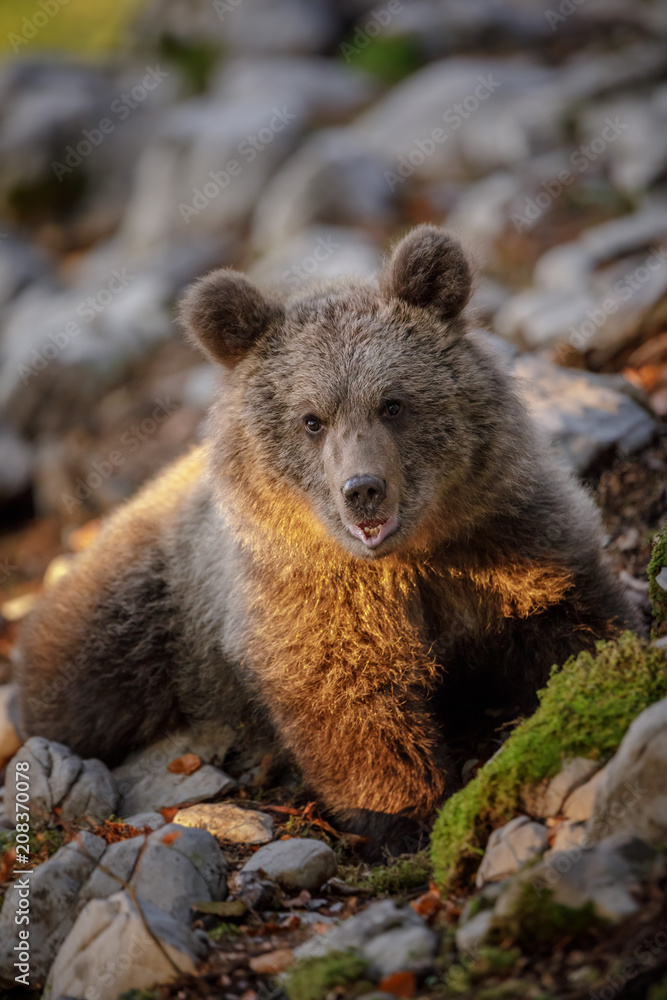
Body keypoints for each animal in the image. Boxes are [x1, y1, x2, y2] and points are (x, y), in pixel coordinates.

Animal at [14, 226, 635, 855]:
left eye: (393, 403)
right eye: (312, 419)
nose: (363, 489)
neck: (409, 555)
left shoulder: (502, 538)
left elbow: (569, 615)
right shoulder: (307, 598)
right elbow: (347, 699)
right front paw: (405, 815)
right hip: (142, 612)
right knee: (80, 690)